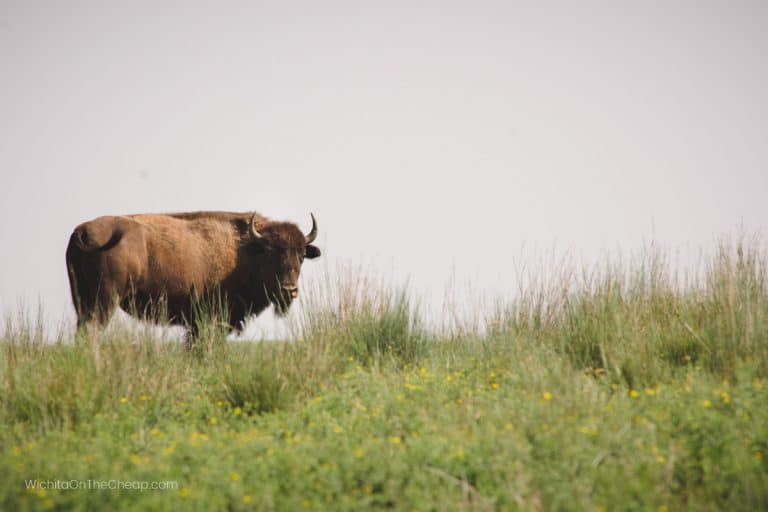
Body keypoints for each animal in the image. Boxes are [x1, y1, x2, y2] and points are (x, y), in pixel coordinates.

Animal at [65, 211, 321, 339]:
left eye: (301, 255)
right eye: (269, 252)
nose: (289, 290)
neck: (245, 250)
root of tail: (82, 230)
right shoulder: (208, 322)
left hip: (82, 301)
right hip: (105, 301)